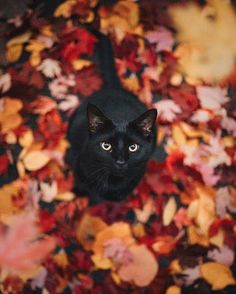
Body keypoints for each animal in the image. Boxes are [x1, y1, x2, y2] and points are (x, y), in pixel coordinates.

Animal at [66, 31, 157, 203]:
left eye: (133, 147)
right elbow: (81, 185)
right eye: (106, 146)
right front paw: (78, 192)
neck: (111, 182)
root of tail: (115, 88)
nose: (120, 162)